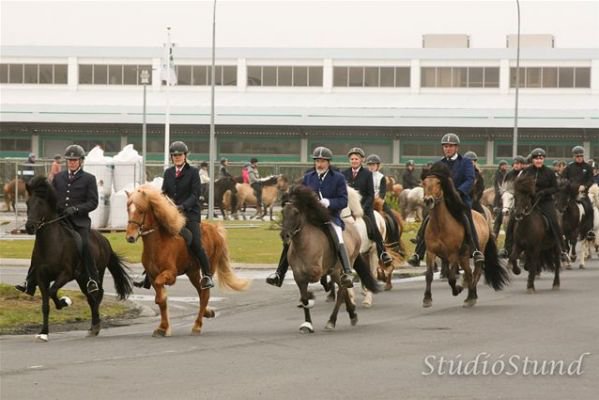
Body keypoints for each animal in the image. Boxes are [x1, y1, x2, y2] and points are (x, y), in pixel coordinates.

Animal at [24, 177, 133, 342]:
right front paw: (43, 332)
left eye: (41, 203)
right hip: (82, 278)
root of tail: (104, 240)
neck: (52, 244)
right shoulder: (42, 277)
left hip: (96, 273)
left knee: (96, 295)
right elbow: (45, 305)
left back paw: (95, 326)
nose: (29, 227)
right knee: (90, 298)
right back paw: (93, 327)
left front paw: (64, 302)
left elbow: (52, 291)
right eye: (27, 203)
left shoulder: (66, 274)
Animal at [125, 186, 250, 336]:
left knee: (205, 294)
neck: (159, 243)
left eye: (141, 211)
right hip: (192, 272)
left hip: (209, 266)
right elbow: (161, 301)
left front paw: (163, 317)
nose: (130, 237)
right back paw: (207, 312)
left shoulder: (170, 274)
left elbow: (161, 295)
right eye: (128, 209)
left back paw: (197, 325)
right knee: (201, 292)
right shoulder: (152, 275)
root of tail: (215, 229)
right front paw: (162, 328)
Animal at [282, 185, 380, 334]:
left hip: (345, 265)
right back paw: (352, 315)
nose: (284, 236)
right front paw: (307, 324)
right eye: (283, 212)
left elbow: (315, 283)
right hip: (337, 271)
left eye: (296, 212)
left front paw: (313, 296)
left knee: (341, 290)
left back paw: (332, 321)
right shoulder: (297, 275)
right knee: (343, 288)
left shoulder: (316, 271)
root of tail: (353, 229)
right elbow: (304, 298)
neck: (303, 245)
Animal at [420, 164, 508, 308]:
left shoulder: (453, 254)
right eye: (424, 183)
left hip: (475, 252)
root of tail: (482, 217)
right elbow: (429, 274)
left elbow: (451, 277)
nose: (428, 200)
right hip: (464, 257)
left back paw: (471, 296)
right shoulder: (431, 252)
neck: (440, 225)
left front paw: (457, 289)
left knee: (476, 273)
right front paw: (427, 299)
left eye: (439, 182)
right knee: (469, 273)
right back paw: (470, 295)